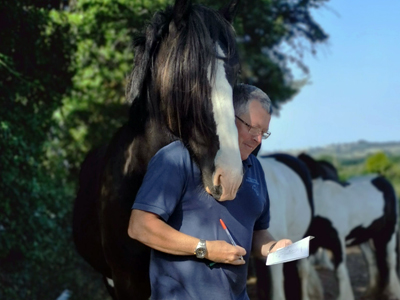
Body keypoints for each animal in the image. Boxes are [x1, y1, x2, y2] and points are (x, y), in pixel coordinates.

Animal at [298, 154, 400, 300]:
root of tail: (381, 179)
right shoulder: (311, 244)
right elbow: (303, 271)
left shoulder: (337, 242)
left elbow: (339, 272)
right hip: (363, 236)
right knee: (371, 259)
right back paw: (371, 291)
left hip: (388, 231)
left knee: (390, 259)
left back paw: (393, 293)